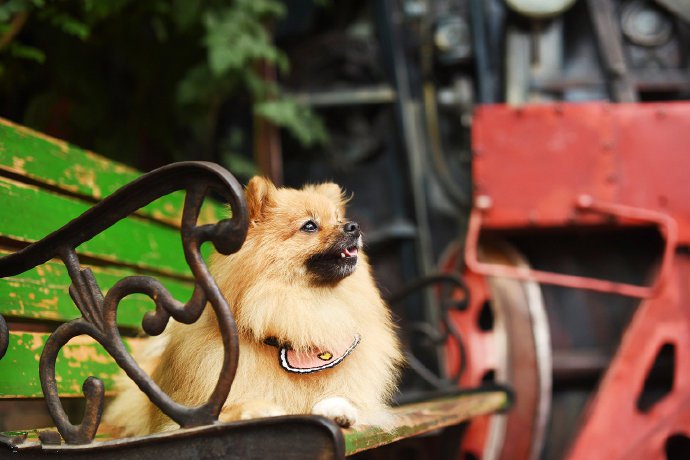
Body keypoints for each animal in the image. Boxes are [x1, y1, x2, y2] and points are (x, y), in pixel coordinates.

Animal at [105, 176, 400, 434]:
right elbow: (241, 406)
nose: (353, 226)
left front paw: (338, 408)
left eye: (338, 220)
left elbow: (345, 398)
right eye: (309, 226)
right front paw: (264, 410)